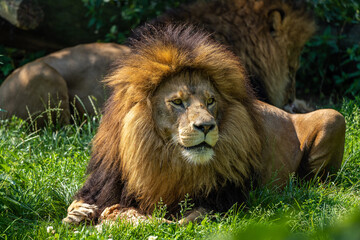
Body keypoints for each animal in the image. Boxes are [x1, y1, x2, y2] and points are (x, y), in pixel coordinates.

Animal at [62, 24, 346, 225]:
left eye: (210, 101)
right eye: (177, 102)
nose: (207, 126)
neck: (161, 158)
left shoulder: (226, 198)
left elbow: (185, 218)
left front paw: (141, 220)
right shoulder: (104, 182)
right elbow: (78, 204)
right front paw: (78, 215)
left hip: (334, 118)